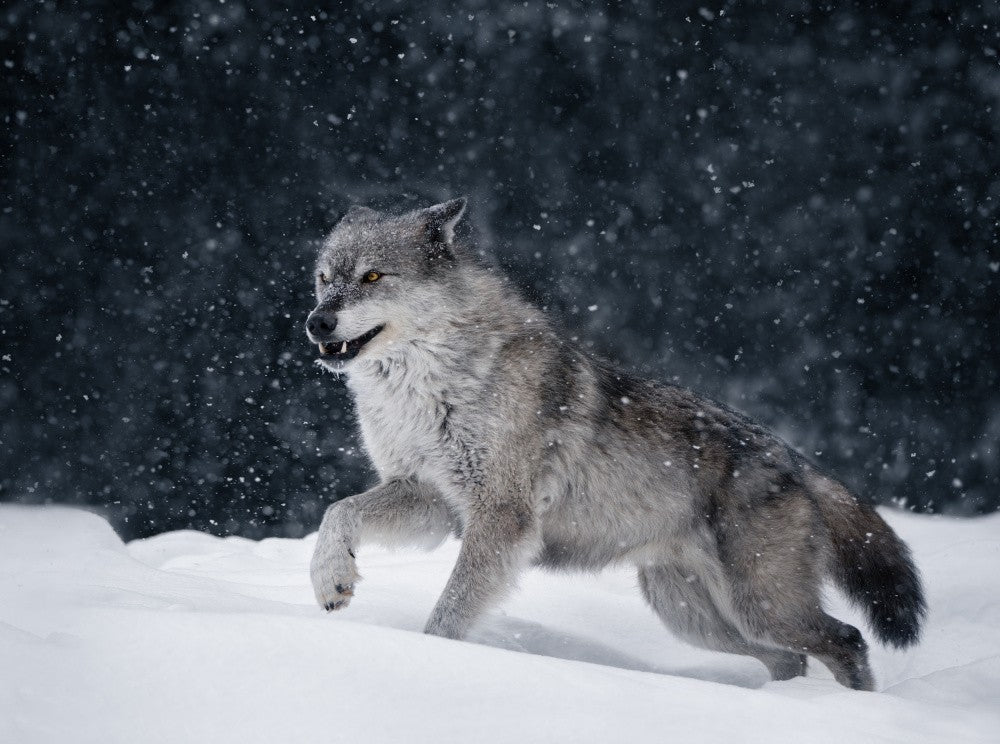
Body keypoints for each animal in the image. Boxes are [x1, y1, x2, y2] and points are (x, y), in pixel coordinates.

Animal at [305, 197, 925, 690]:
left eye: (373, 277)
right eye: (324, 278)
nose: (316, 323)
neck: (425, 390)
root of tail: (796, 461)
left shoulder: (501, 517)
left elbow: (449, 614)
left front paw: (430, 655)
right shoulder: (431, 499)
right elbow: (339, 512)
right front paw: (331, 579)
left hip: (762, 607)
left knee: (847, 640)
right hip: (697, 618)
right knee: (790, 661)